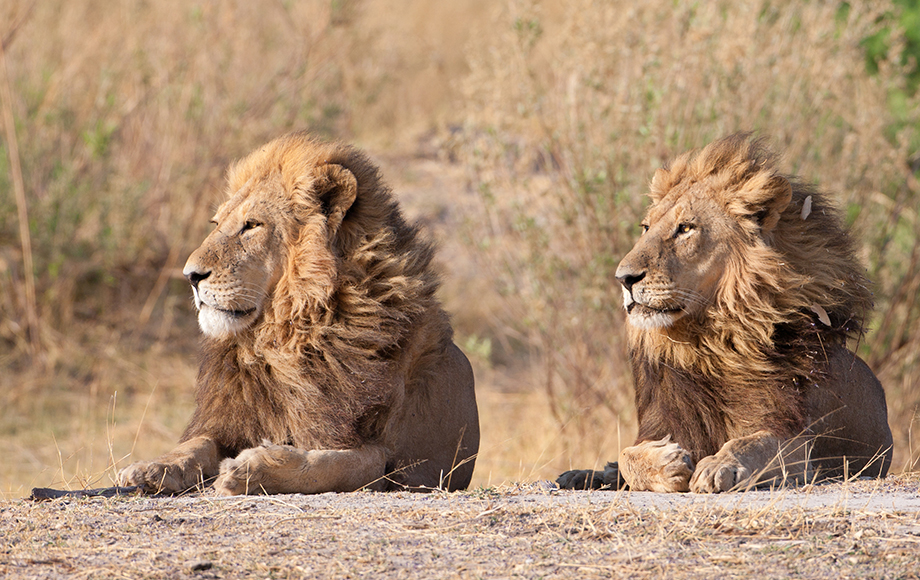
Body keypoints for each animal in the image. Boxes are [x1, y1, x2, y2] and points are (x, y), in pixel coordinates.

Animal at [117, 131, 482, 494]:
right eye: (217, 223)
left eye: (252, 225)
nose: (190, 276)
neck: (287, 335)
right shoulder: (232, 419)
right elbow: (196, 445)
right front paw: (152, 468)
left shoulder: (386, 461)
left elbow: (325, 465)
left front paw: (251, 469)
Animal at [556, 134, 896, 492]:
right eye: (646, 227)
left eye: (686, 228)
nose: (623, 278)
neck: (708, 343)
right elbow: (627, 454)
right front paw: (665, 463)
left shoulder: (798, 443)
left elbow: (754, 443)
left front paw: (720, 464)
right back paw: (578, 475)